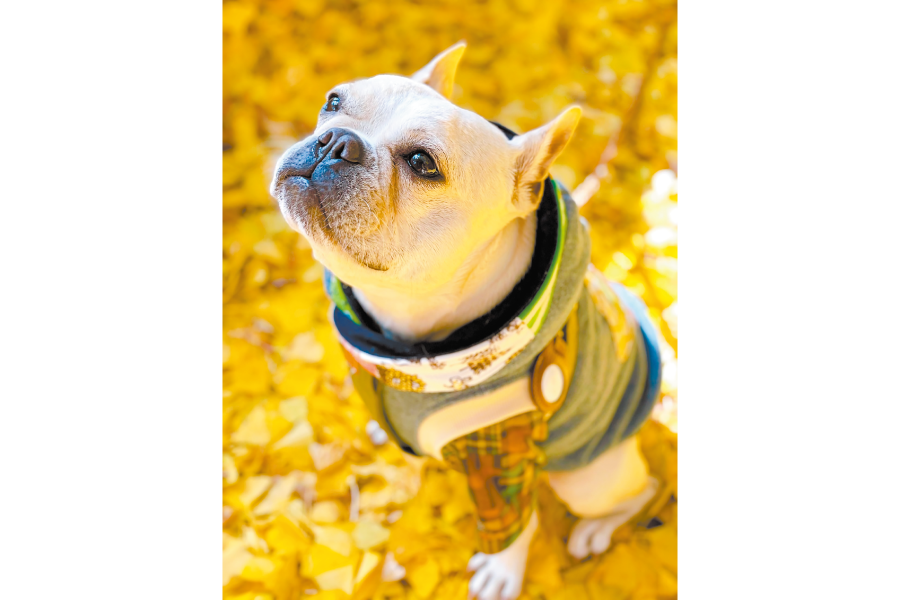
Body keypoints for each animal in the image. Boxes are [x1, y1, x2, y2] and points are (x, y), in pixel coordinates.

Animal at [268, 43, 660, 600]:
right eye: (333, 102)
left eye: (422, 164)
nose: (336, 140)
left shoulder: (501, 458)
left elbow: (516, 524)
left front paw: (502, 571)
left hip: (586, 478)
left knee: (643, 491)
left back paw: (598, 530)